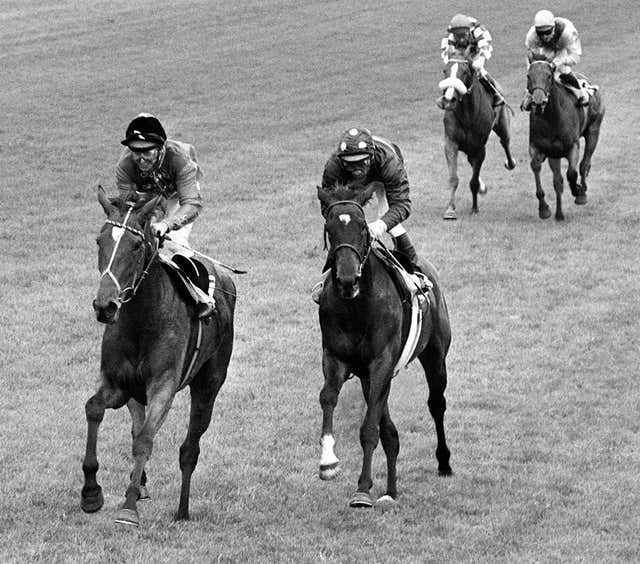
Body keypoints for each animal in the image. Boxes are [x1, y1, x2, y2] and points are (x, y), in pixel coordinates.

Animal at [81, 189, 236, 528]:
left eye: (136, 245)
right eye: (99, 240)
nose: (105, 306)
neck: (141, 322)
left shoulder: (163, 386)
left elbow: (145, 440)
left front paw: (127, 507)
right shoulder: (118, 385)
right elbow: (95, 409)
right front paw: (91, 493)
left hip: (209, 384)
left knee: (190, 449)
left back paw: (182, 510)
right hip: (135, 396)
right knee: (136, 426)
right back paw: (140, 485)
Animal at [316, 183, 450, 508]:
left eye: (363, 228)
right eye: (330, 229)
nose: (347, 279)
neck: (356, 307)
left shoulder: (381, 363)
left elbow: (369, 429)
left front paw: (363, 489)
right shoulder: (336, 358)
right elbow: (328, 398)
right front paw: (328, 461)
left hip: (435, 356)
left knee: (436, 404)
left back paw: (443, 462)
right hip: (371, 378)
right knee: (390, 433)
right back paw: (391, 491)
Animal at [438, 50, 516, 219]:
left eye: (465, 72)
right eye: (445, 71)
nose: (448, 100)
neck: (467, 114)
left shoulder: (480, 148)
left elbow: (473, 181)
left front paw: (474, 208)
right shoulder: (451, 142)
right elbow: (453, 178)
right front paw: (450, 209)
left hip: (502, 123)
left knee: (505, 141)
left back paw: (511, 162)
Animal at [524, 54, 604, 218]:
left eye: (548, 76)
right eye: (528, 76)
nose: (538, 102)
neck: (552, 119)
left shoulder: (572, 146)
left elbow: (572, 173)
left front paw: (578, 192)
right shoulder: (540, 148)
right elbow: (537, 167)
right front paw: (544, 208)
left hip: (594, 131)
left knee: (584, 163)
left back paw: (582, 190)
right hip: (555, 154)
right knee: (558, 181)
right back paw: (559, 214)